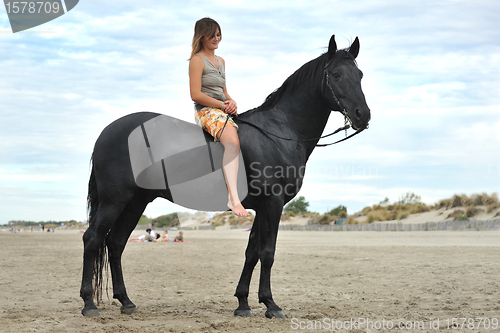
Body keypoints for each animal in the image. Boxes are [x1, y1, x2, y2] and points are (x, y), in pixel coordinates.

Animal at [80, 35, 370, 318]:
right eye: (336, 75)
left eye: (360, 75)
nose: (363, 115)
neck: (279, 132)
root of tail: (107, 132)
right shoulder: (273, 204)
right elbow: (268, 252)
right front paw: (271, 305)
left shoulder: (261, 207)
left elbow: (252, 252)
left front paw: (243, 304)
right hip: (115, 201)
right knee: (92, 239)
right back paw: (89, 304)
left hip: (135, 202)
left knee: (115, 243)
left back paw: (126, 301)